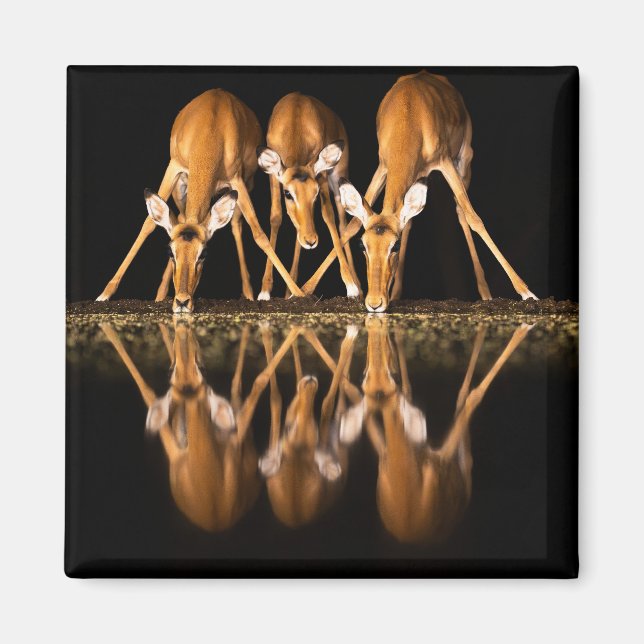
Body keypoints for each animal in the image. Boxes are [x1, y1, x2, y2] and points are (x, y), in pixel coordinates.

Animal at [96, 89, 304, 313]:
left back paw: (249, 293)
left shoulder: (237, 181)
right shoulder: (174, 168)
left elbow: (259, 234)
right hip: (181, 188)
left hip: (242, 186)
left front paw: (297, 292)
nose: (182, 301)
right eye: (170, 252)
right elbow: (148, 224)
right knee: (179, 216)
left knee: (236, 224)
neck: (211, 130)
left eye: (203, 253)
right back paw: (160, 294)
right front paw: (104, 294)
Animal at [256, 92, 360, 300]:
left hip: (338, 177)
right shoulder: (273, 177)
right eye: (288, 193)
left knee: (343, 221)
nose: (311, 241)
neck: (296, 120)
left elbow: (328, 215)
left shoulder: (321, 175)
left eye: (316, 193)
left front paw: (350, 285)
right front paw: (265, 290)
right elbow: (276, 218)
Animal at [303, 71, 537, 311]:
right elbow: (353, 225)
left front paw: (527, 292)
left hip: (464, 162)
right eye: (363, 245)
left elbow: (475, 219)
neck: (410, 113)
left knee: (461, 212)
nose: (375, 302)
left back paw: (486, 293)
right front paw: (305, 289)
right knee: (411, 219)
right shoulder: (383, 167)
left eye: (394, 246)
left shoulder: (445, 162)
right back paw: (396, 293)